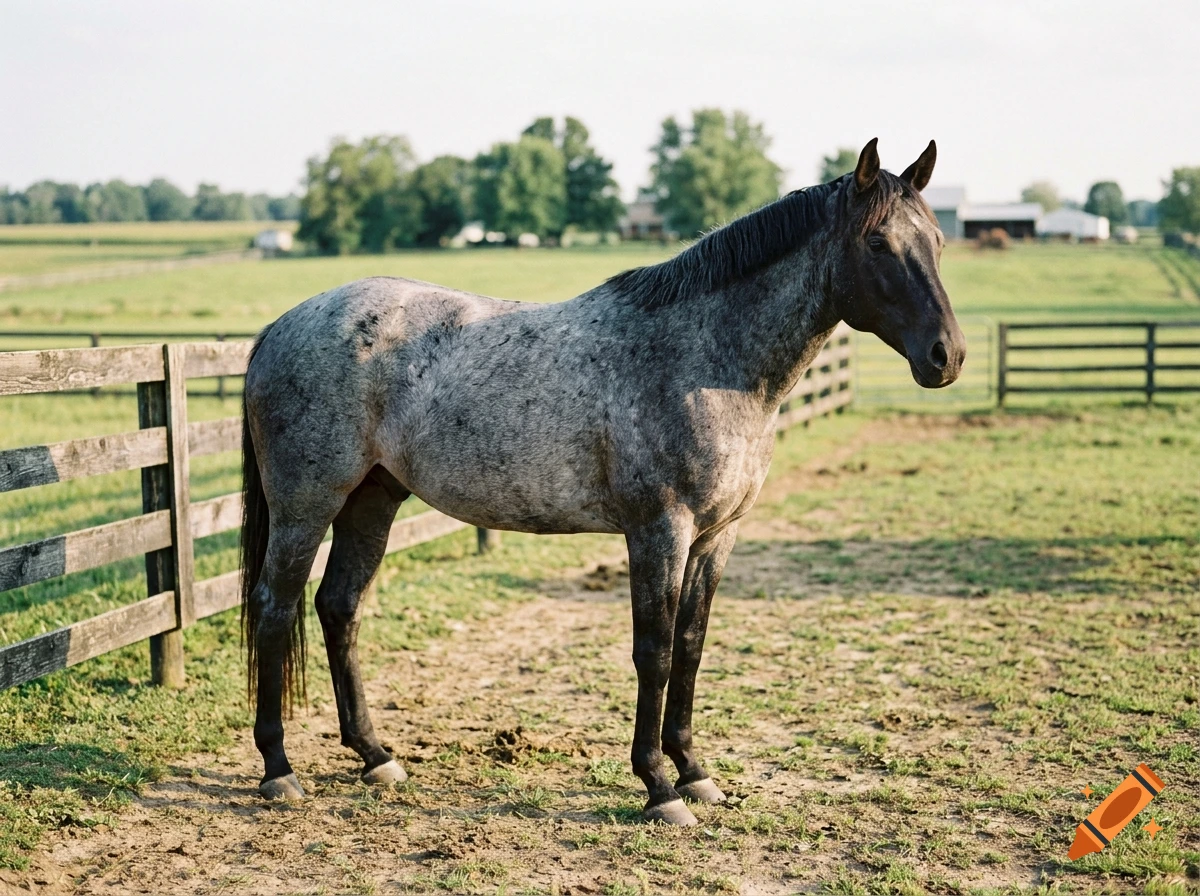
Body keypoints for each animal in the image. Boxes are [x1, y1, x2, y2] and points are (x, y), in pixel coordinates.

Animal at [239, 138, 964, 825]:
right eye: (877, 242)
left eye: (936, 240)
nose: (947, 356)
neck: (703, 360)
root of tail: (281, 326)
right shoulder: (659, 532)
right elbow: (656, 652)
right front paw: (659, 788)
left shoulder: (717, 537)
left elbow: (692, 647)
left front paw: (695, 772)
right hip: (307, 506)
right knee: (274, 608)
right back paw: (279, 770)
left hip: (373, 498)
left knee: (339, 608)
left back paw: (376, 756)